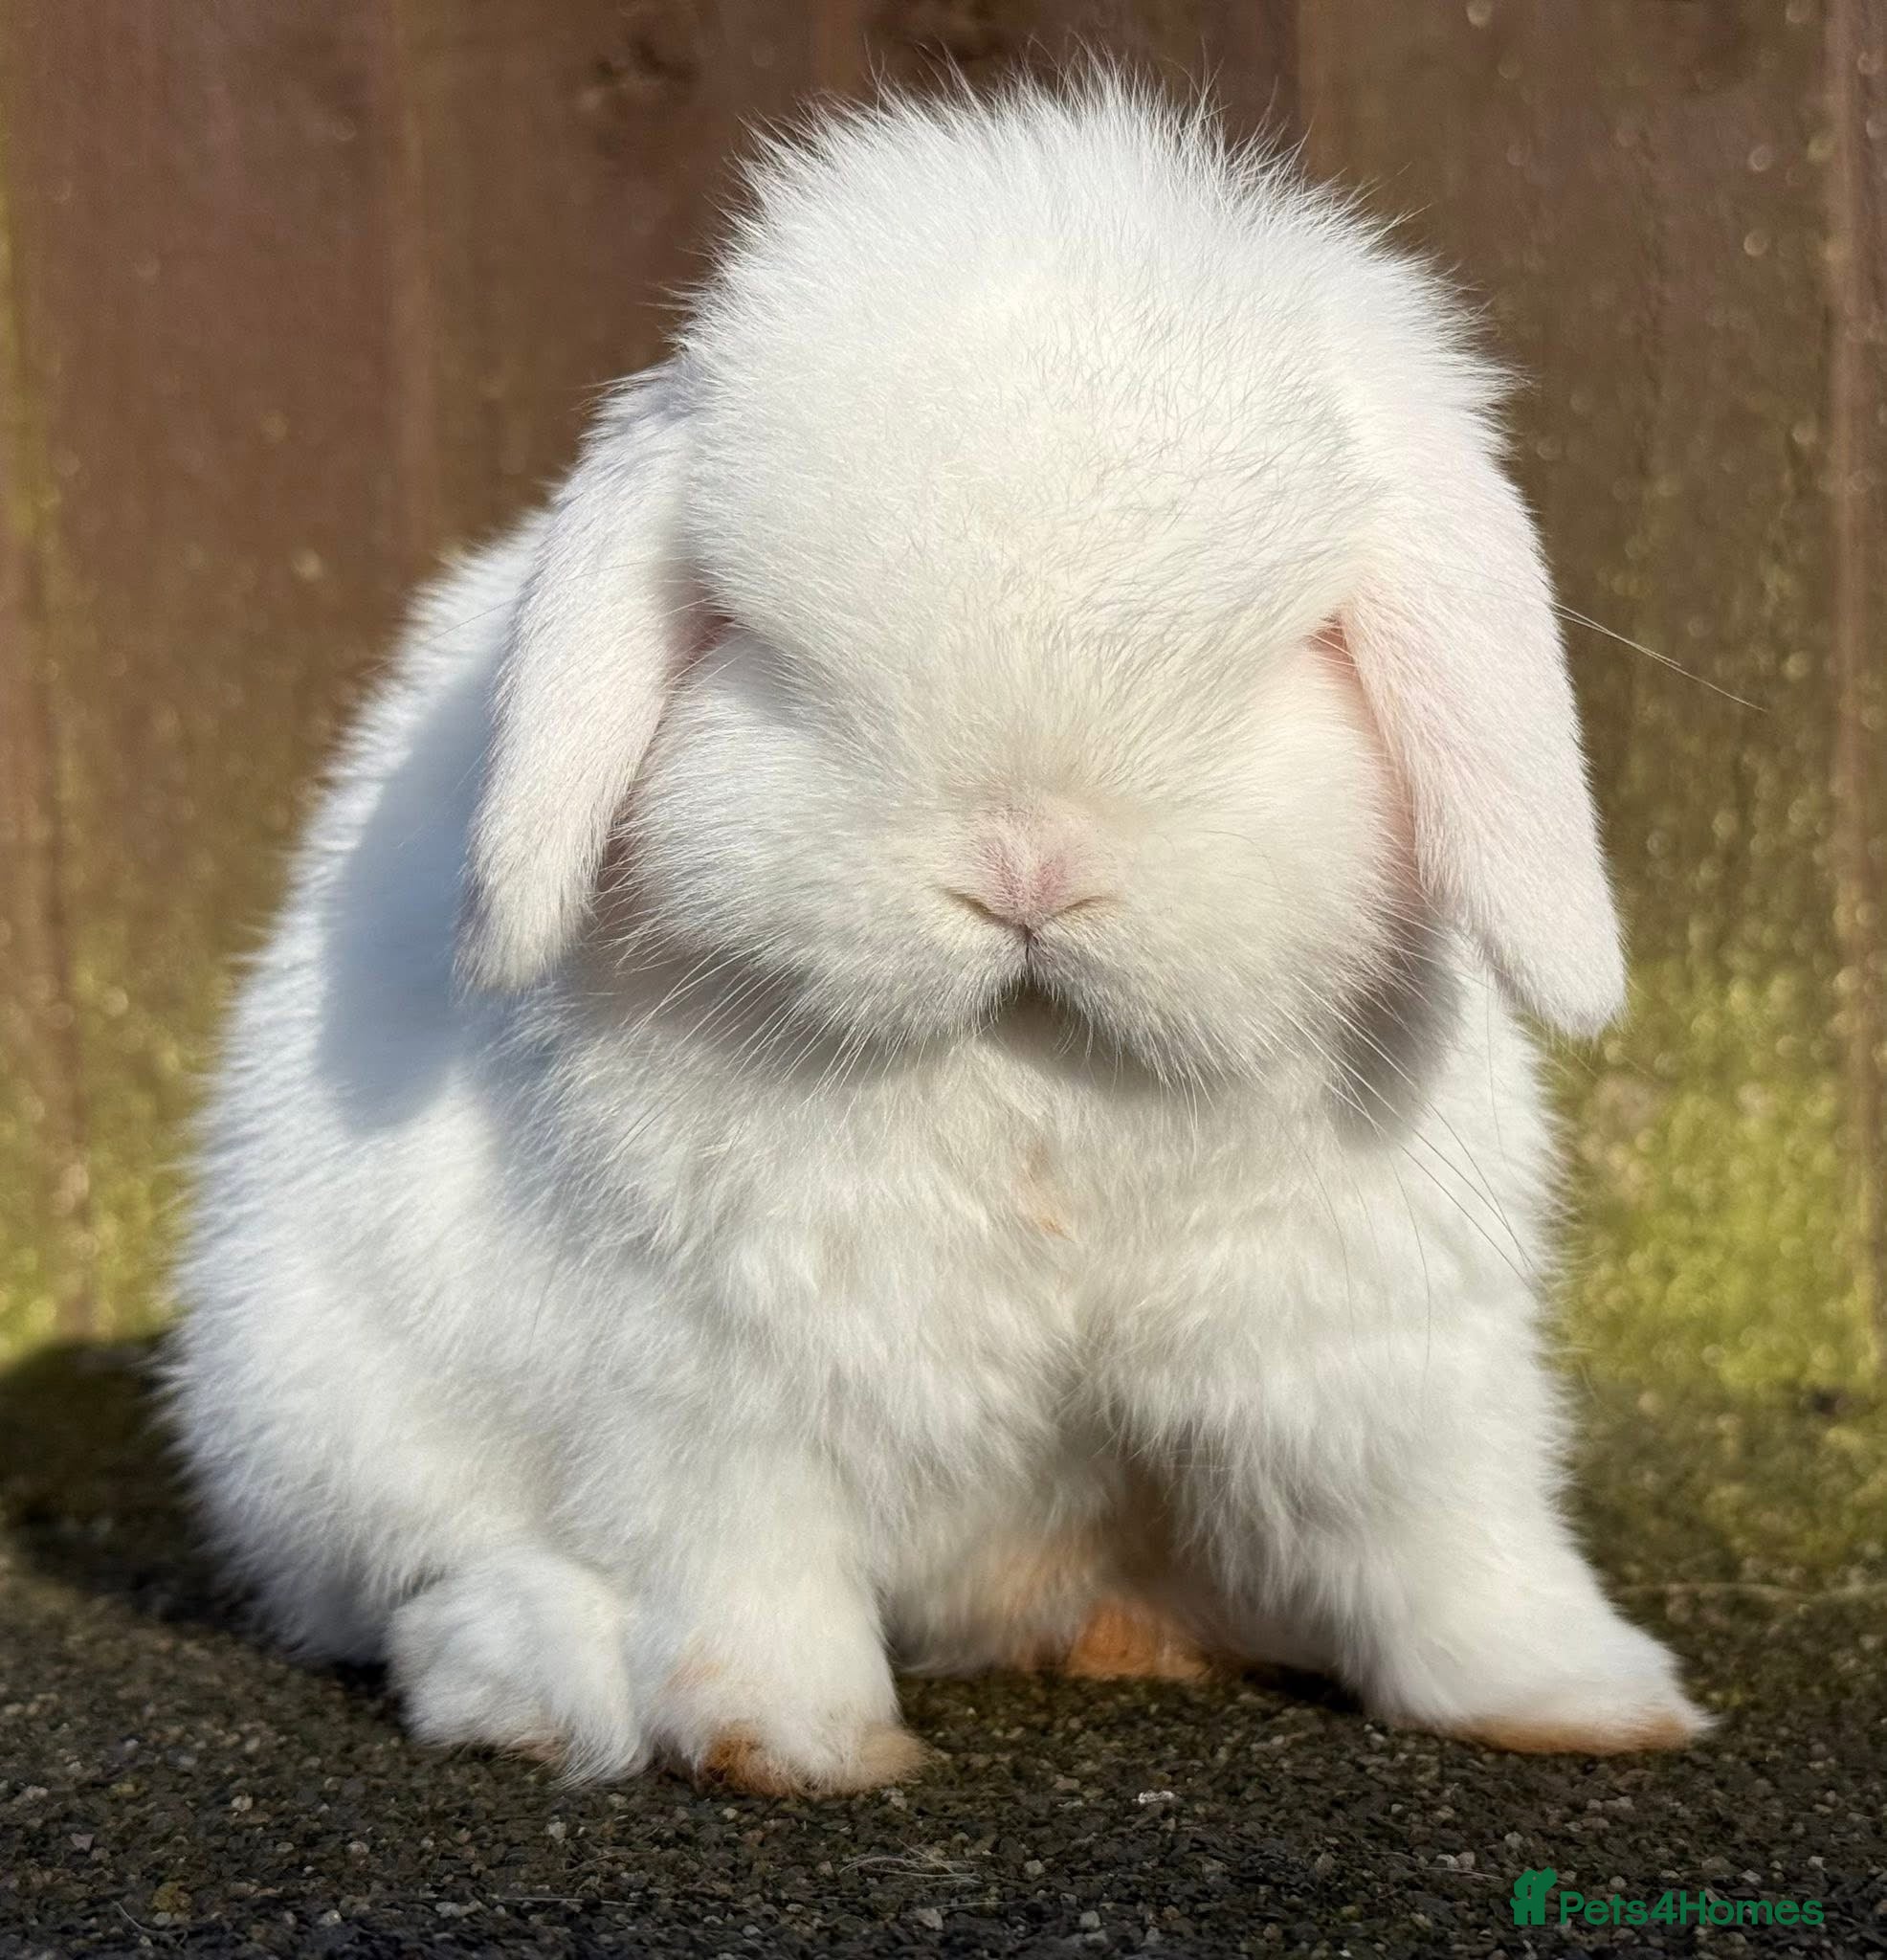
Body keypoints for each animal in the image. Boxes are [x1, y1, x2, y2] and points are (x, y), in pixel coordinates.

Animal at [168, 74, 1708, 1794]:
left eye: (1299, 645)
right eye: (759, 649)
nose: (1025, 865)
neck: (1042, 1082)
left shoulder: (1381, 1359)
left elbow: (1455, 1542)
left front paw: (1589, 1703)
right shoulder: (704, 1393)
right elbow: (744, 1577)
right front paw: (799, 1745)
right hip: (317, 1412)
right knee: (430, 1597)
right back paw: (547, 1686)